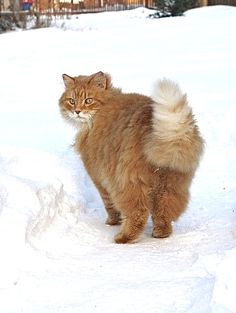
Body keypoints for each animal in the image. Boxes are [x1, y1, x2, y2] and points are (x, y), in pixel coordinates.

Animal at [58, 71, 204, 244]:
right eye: (71, 101)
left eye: (88, 100)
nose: (77, 111)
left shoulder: (99, 177)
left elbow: (109, 205)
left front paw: (112, 222)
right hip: (170, 184)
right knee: (163, 212)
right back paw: (160, 233)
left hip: (129, 182)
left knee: (138, 213)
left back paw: (124, 237)